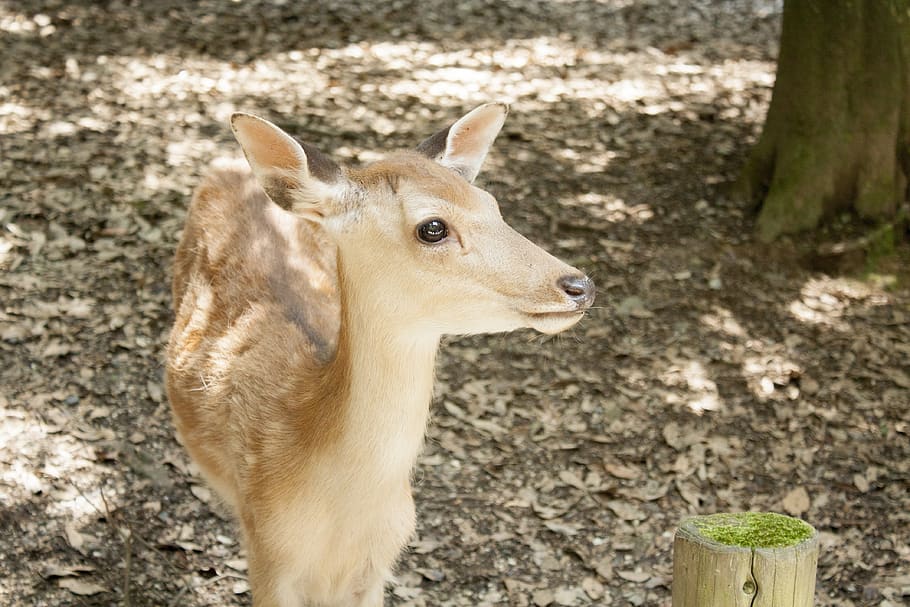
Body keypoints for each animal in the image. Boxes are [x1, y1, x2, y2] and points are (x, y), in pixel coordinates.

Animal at [166, 103, 595, 607]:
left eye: (492, 204)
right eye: (432, 227)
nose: (579, 285)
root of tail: (229, 163)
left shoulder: (375, 570)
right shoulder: (268, 556)